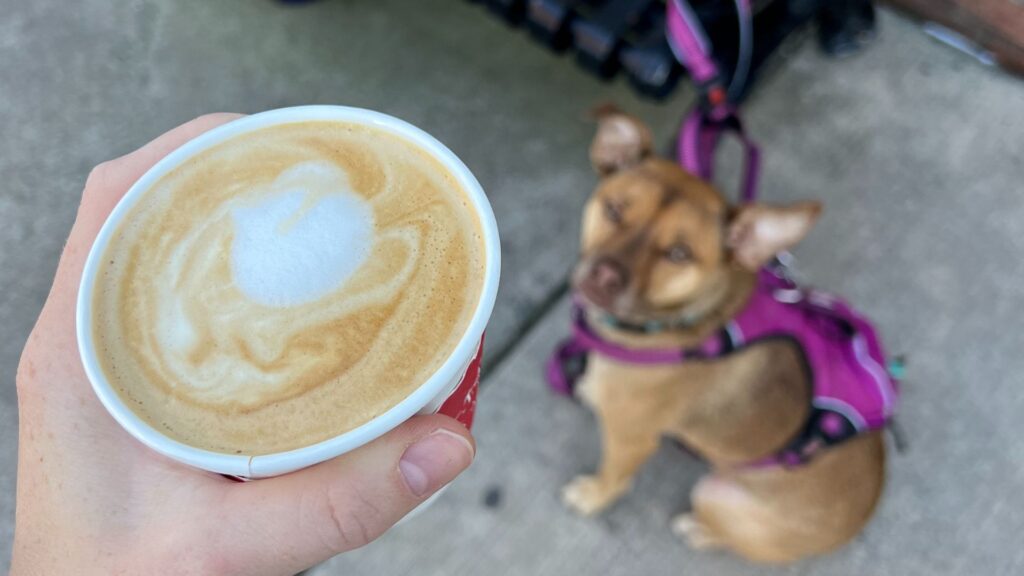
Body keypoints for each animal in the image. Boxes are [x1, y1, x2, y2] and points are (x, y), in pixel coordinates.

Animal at [557, 106, 892, 561]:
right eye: (614, 209)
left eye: (678, 253)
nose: (603, 277)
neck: (677, 320)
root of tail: (859, 522)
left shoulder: (631, 439)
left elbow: (613, 477)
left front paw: (592, 496)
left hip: (713, 495)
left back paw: (698, 530)